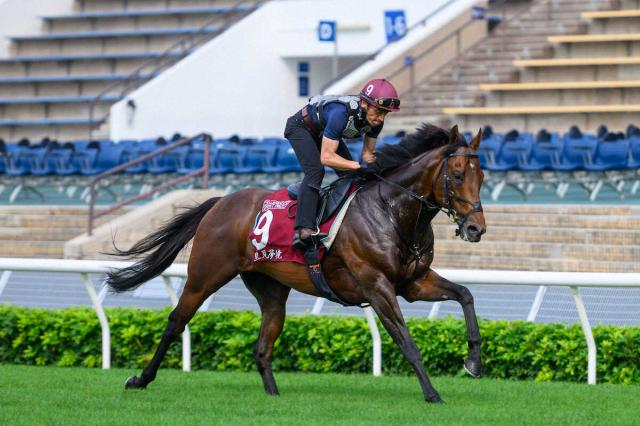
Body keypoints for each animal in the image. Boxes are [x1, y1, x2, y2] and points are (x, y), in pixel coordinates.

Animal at [106, 123, 486, 403]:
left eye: (480, 176)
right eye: (456, 174)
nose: (476, 228)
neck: (392, 211)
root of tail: (220, 202)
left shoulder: (413, 282)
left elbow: (465, 295)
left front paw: (473, 362)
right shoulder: (377, 286)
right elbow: (406, 341)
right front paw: (432, 393)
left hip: (270, 288)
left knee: (263, 346)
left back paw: (275, 397)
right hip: (204, 274)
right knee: (175, 322)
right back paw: (140, 379)